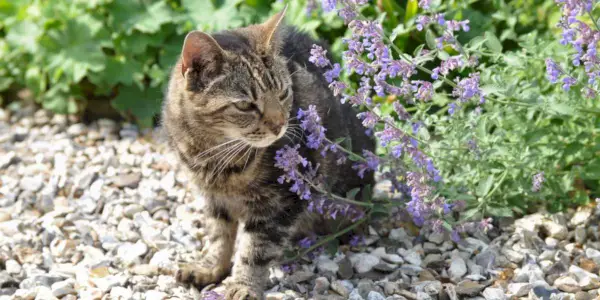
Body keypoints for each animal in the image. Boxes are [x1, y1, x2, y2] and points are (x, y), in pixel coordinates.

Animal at [161, 5, 376, 298]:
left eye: (283, 93)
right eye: (245, 105)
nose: (279, 125)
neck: (215, 155)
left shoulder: (280, 201)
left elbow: (255, 250)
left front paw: (243, 286)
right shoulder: (214, 199)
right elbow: (218, 235)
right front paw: (210, 267)